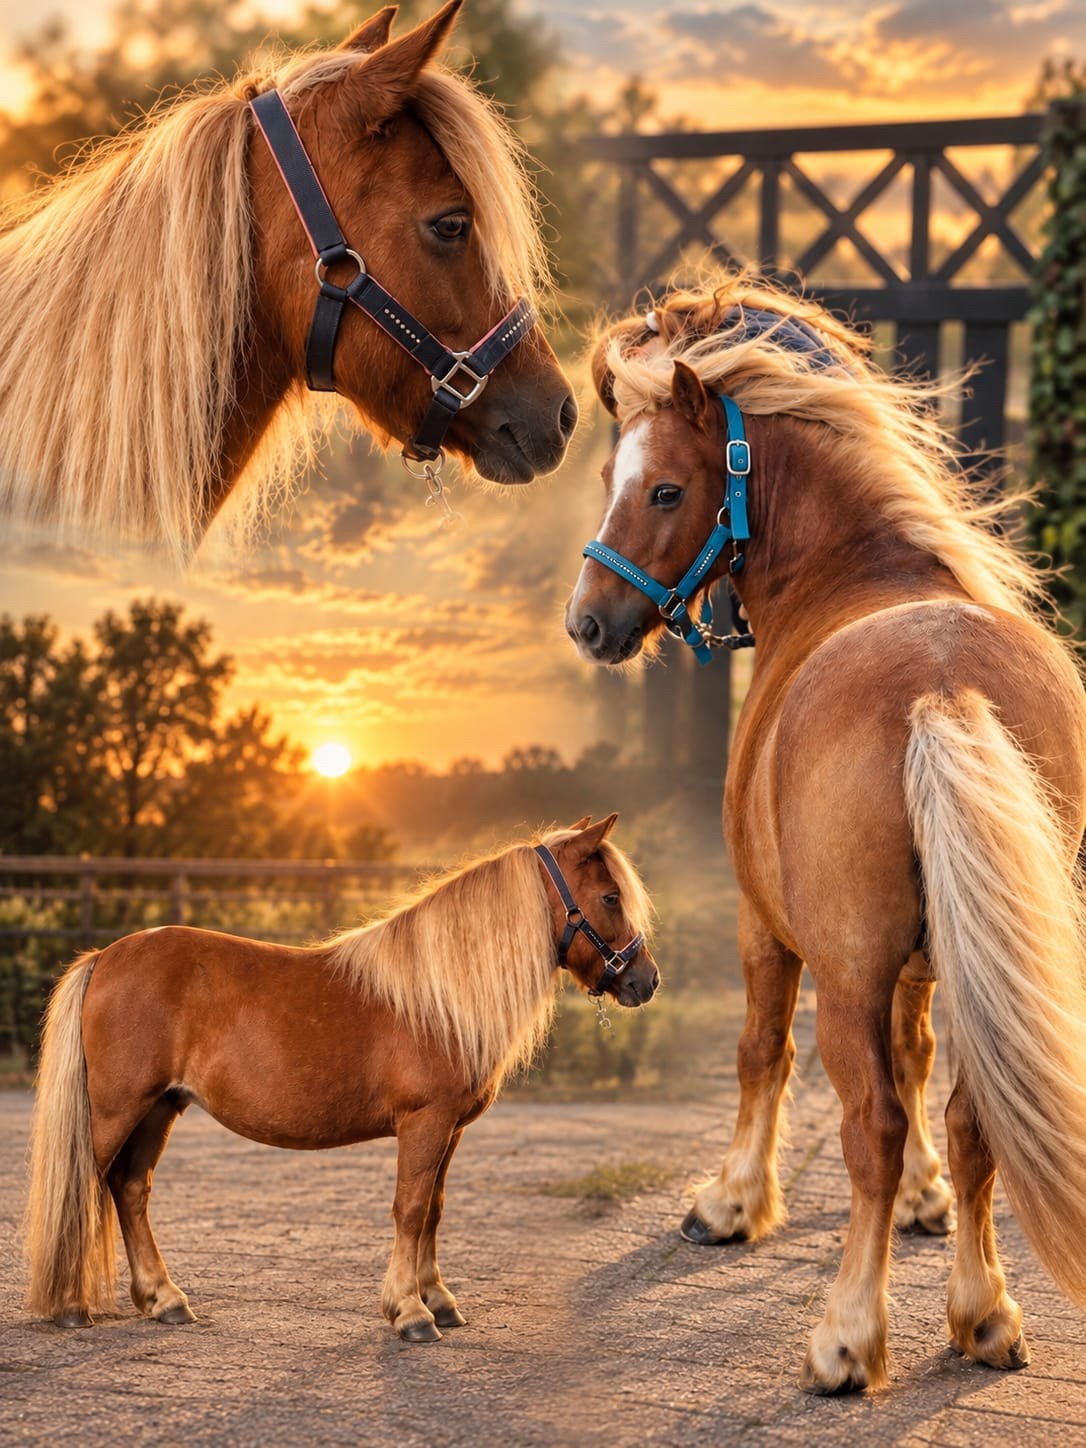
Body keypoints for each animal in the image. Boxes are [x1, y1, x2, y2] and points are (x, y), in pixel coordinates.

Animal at [25, 816, 657, 1341]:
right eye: (609, 896)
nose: (646, 981)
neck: (436, 998)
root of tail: (105, 957)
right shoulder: (425, 1123)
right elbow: (410, 1208)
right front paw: (410, 1313)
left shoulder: (449, 1130)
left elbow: (434, 1208)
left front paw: (438, 1299)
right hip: (116, 1112)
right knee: (85, 1187)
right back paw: (70, 1306)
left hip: (159, 1109)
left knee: (130, 1189)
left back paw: (165, 1300)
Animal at [565, 275, 1086, 1393]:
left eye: (663, 490)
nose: (589, 623)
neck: (860, 573)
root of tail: (944, 688)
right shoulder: (929, 962)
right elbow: (925, 1061)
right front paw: (934, 1204)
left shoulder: (769, 929)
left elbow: (763, 1052)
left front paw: (730, 1202)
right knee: (971, 1115)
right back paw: (983, 1314)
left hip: (841, 969)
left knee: (868, 1124)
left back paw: (850, 1332)